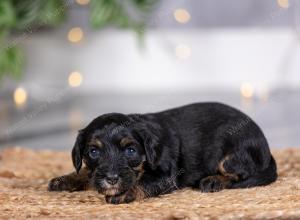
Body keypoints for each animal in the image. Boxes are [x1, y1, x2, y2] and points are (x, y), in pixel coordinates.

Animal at [48, 103, 276, 205]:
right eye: (93, 151)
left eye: (131, 150)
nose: (112, 179)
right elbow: (87, 172)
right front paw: (64, 180)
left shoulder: (166, 176)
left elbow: (143, 183)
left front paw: (121, 193)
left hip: (231, 155)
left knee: (240, 173)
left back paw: (213, 181)